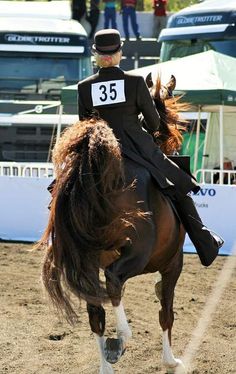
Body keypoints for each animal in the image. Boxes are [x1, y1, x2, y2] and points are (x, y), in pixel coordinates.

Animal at [39, 74, 190, 372]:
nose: (174, 147)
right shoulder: (173, 263)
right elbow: (166, 311)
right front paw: (170, 361)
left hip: (86, 261)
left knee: (95, 311)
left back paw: (107, 361)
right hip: (137, 254)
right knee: (114, 280)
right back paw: (121, 337)